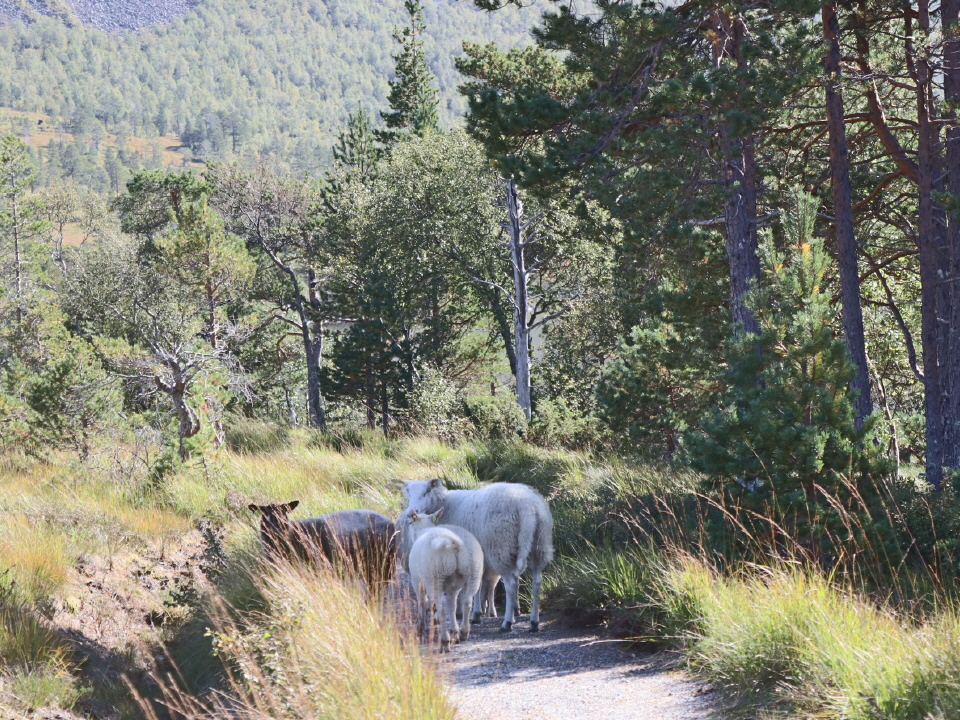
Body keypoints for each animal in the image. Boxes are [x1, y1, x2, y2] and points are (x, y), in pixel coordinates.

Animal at [398, 480, 552, 632]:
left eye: (427, 491)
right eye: (408, 493)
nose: (412, 511)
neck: (445, 504)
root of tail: (527, 507)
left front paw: (463, 613)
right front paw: (475, 612)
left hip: (500, 547)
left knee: (511, 583)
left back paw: (507, 622)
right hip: (540, 544)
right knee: (536, 582)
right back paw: (533, 622)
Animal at [404, 506, 484, 652]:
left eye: (410, 523)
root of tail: (454, 542)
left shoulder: (417, 581)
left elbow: (422, 602)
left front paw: (420, 628)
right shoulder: (453, 587)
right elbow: (452, 605)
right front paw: (454, 632)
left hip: (435, 575)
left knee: (441, 606)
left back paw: (445, 641)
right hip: (473, 571)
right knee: (467, 601)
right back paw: (463, 632)